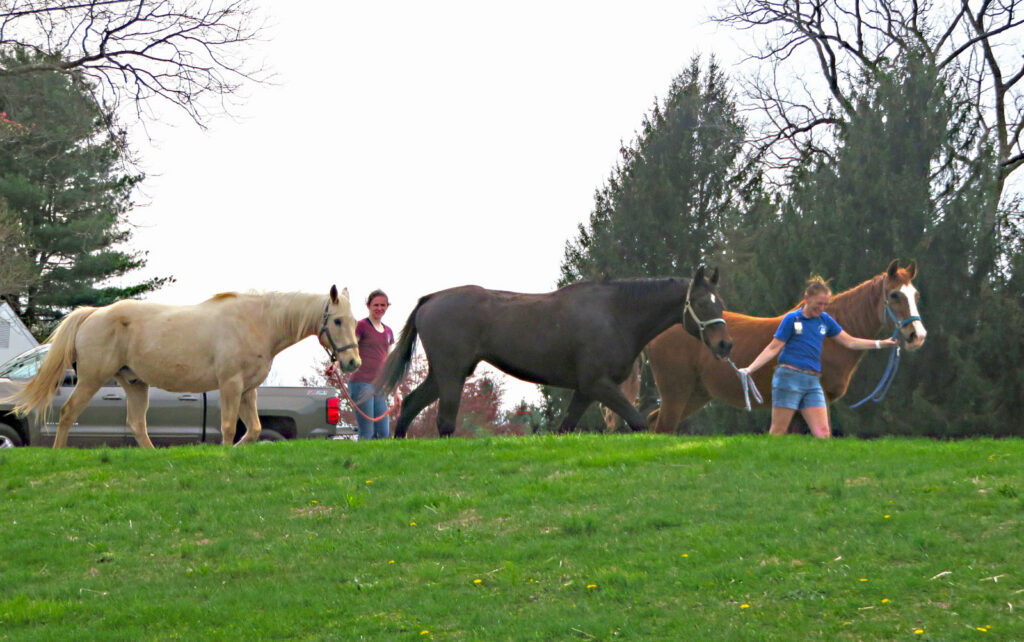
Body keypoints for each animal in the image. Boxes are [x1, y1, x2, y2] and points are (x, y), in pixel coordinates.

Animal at [8, 286, 361, 448]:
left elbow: (255, 430)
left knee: (137, 424)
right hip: (91, 379)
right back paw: (58, 451)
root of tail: (94, 314)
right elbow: (229, 427)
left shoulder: (248, 390)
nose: (353, 362)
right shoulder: (231, 385)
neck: (256, 322)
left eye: (354, 320)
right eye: (338, 320)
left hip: (135, 384)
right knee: (68, 413)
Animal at [375, 266, 733, 437]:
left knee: (409, 406)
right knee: (445, 423)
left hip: (444, 375)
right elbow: (638, 423)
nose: (725, 344)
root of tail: (431, 299)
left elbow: (564, 428)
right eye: (702, 303)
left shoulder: (585, 391)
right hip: (452, 376)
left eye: (721, 302)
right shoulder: (598, 385)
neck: (616, 314)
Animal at [632, 260, 925, 433]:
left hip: (696, 395)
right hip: (676, 393)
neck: (829, 339)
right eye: (894, 295)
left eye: (915, 294)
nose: (917, 335)